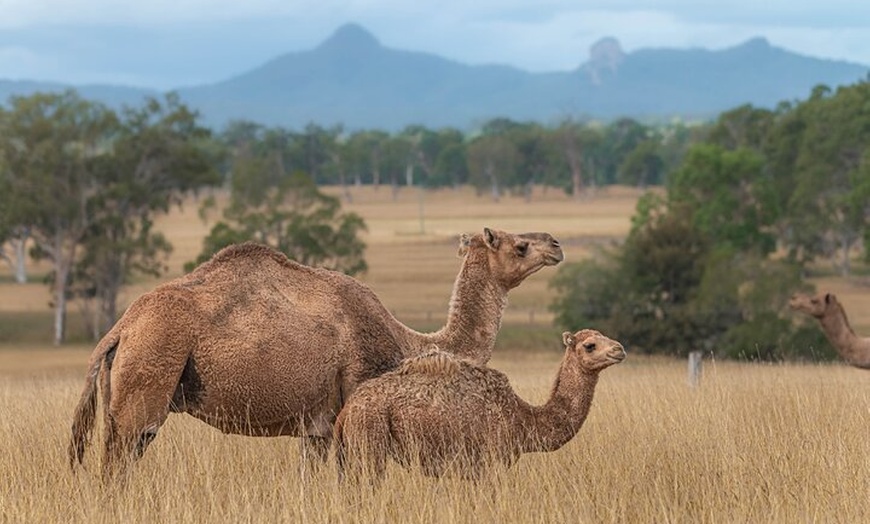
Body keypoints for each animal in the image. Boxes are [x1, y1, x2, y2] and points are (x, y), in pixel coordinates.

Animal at [70, 227, 564, 482]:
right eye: (519, 244)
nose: (556, 244)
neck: (408, 343)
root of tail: (120, 330)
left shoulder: (318, 426)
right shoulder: (353, 401)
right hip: (149, 378)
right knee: (118, 460)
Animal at [334, 330, 628, 482]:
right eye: (590, 345)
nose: (619, 349)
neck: (523, 418)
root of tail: (347, 409)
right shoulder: (490, 462)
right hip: (370, 440)